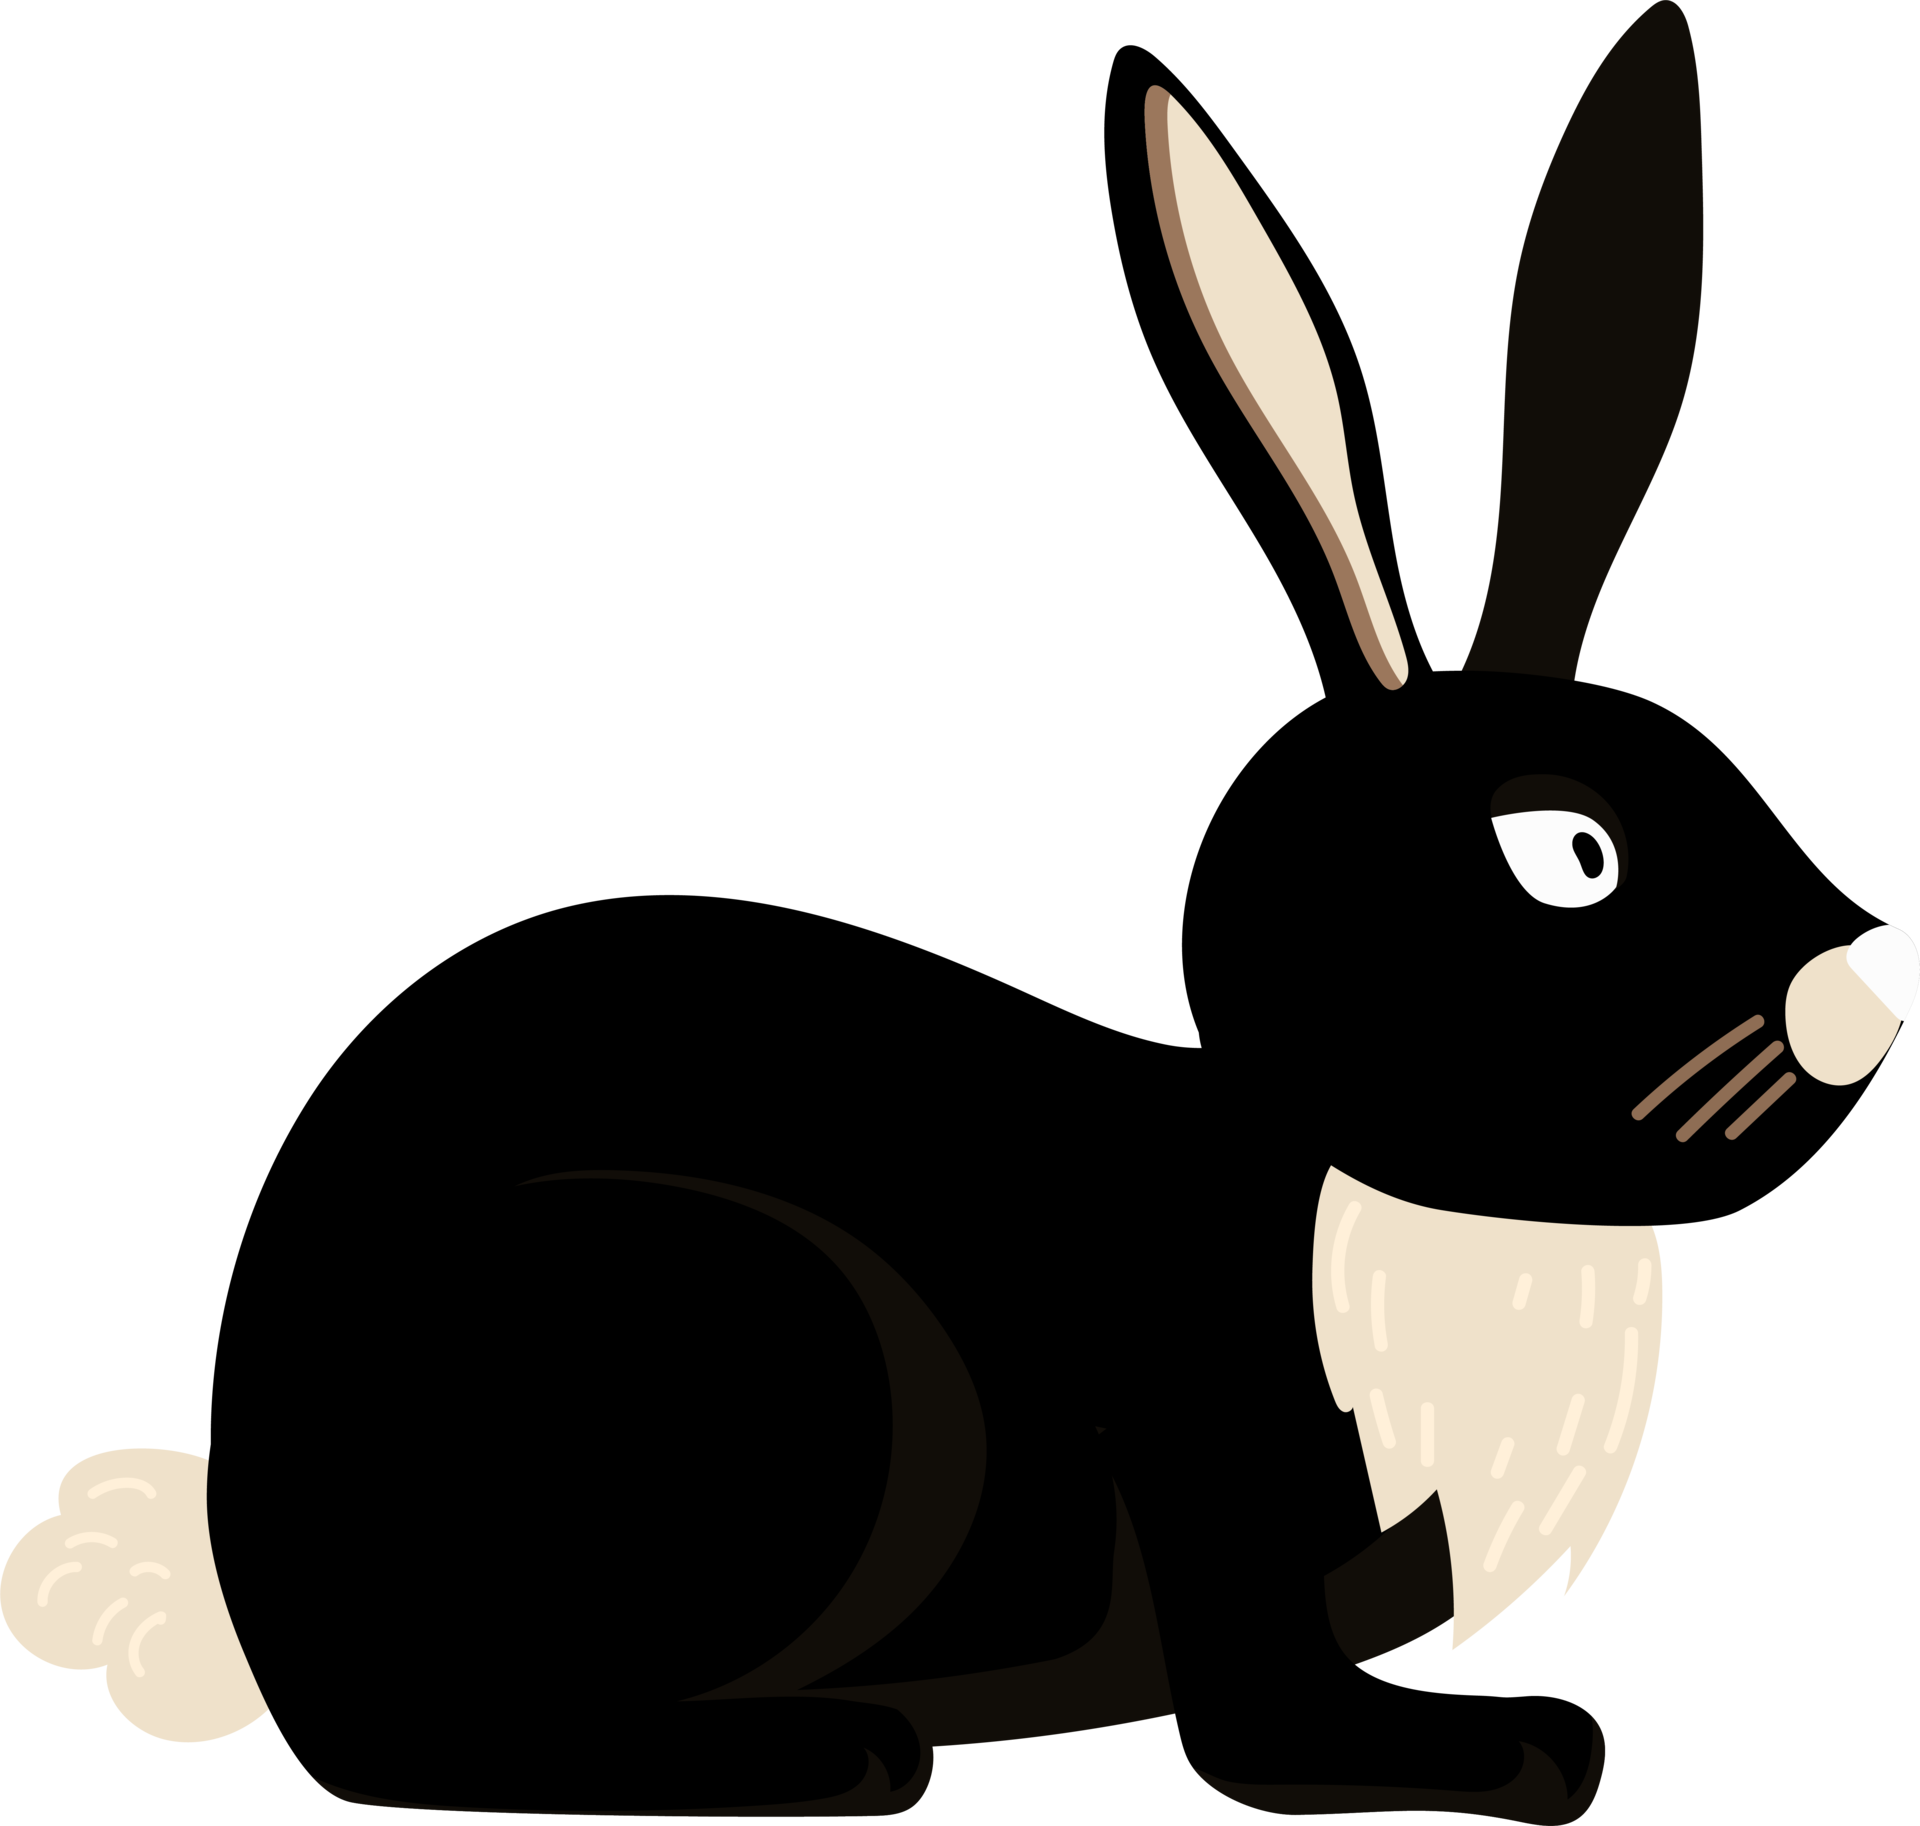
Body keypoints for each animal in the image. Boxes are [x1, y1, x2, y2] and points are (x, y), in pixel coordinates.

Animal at [4, 2, 1908, 1821]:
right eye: (1569, 856)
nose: (1868, 986)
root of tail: (243, 1540)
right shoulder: (1216, 1451)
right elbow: (1268, 1719)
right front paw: (1479, 1768)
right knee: (421, 1737)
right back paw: (822, 1759)